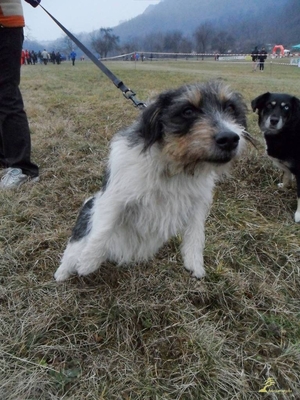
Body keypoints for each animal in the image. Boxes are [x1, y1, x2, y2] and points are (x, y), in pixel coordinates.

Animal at [54, 80, 253, 282]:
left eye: (230, 107)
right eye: (187, 111)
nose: (230, 139)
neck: (174, 167)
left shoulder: (197, 203)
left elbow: (196, 234)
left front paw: (195, 263)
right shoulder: (115, 197)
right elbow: (104, 227)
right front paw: (89, 261)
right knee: (73, 251)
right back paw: (62, 273)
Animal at [251, 92, 300, 223]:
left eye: (286, 107)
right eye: (269, 105)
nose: (274, 120)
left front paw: (299, 214)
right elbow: (286, 175)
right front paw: (284, 186)